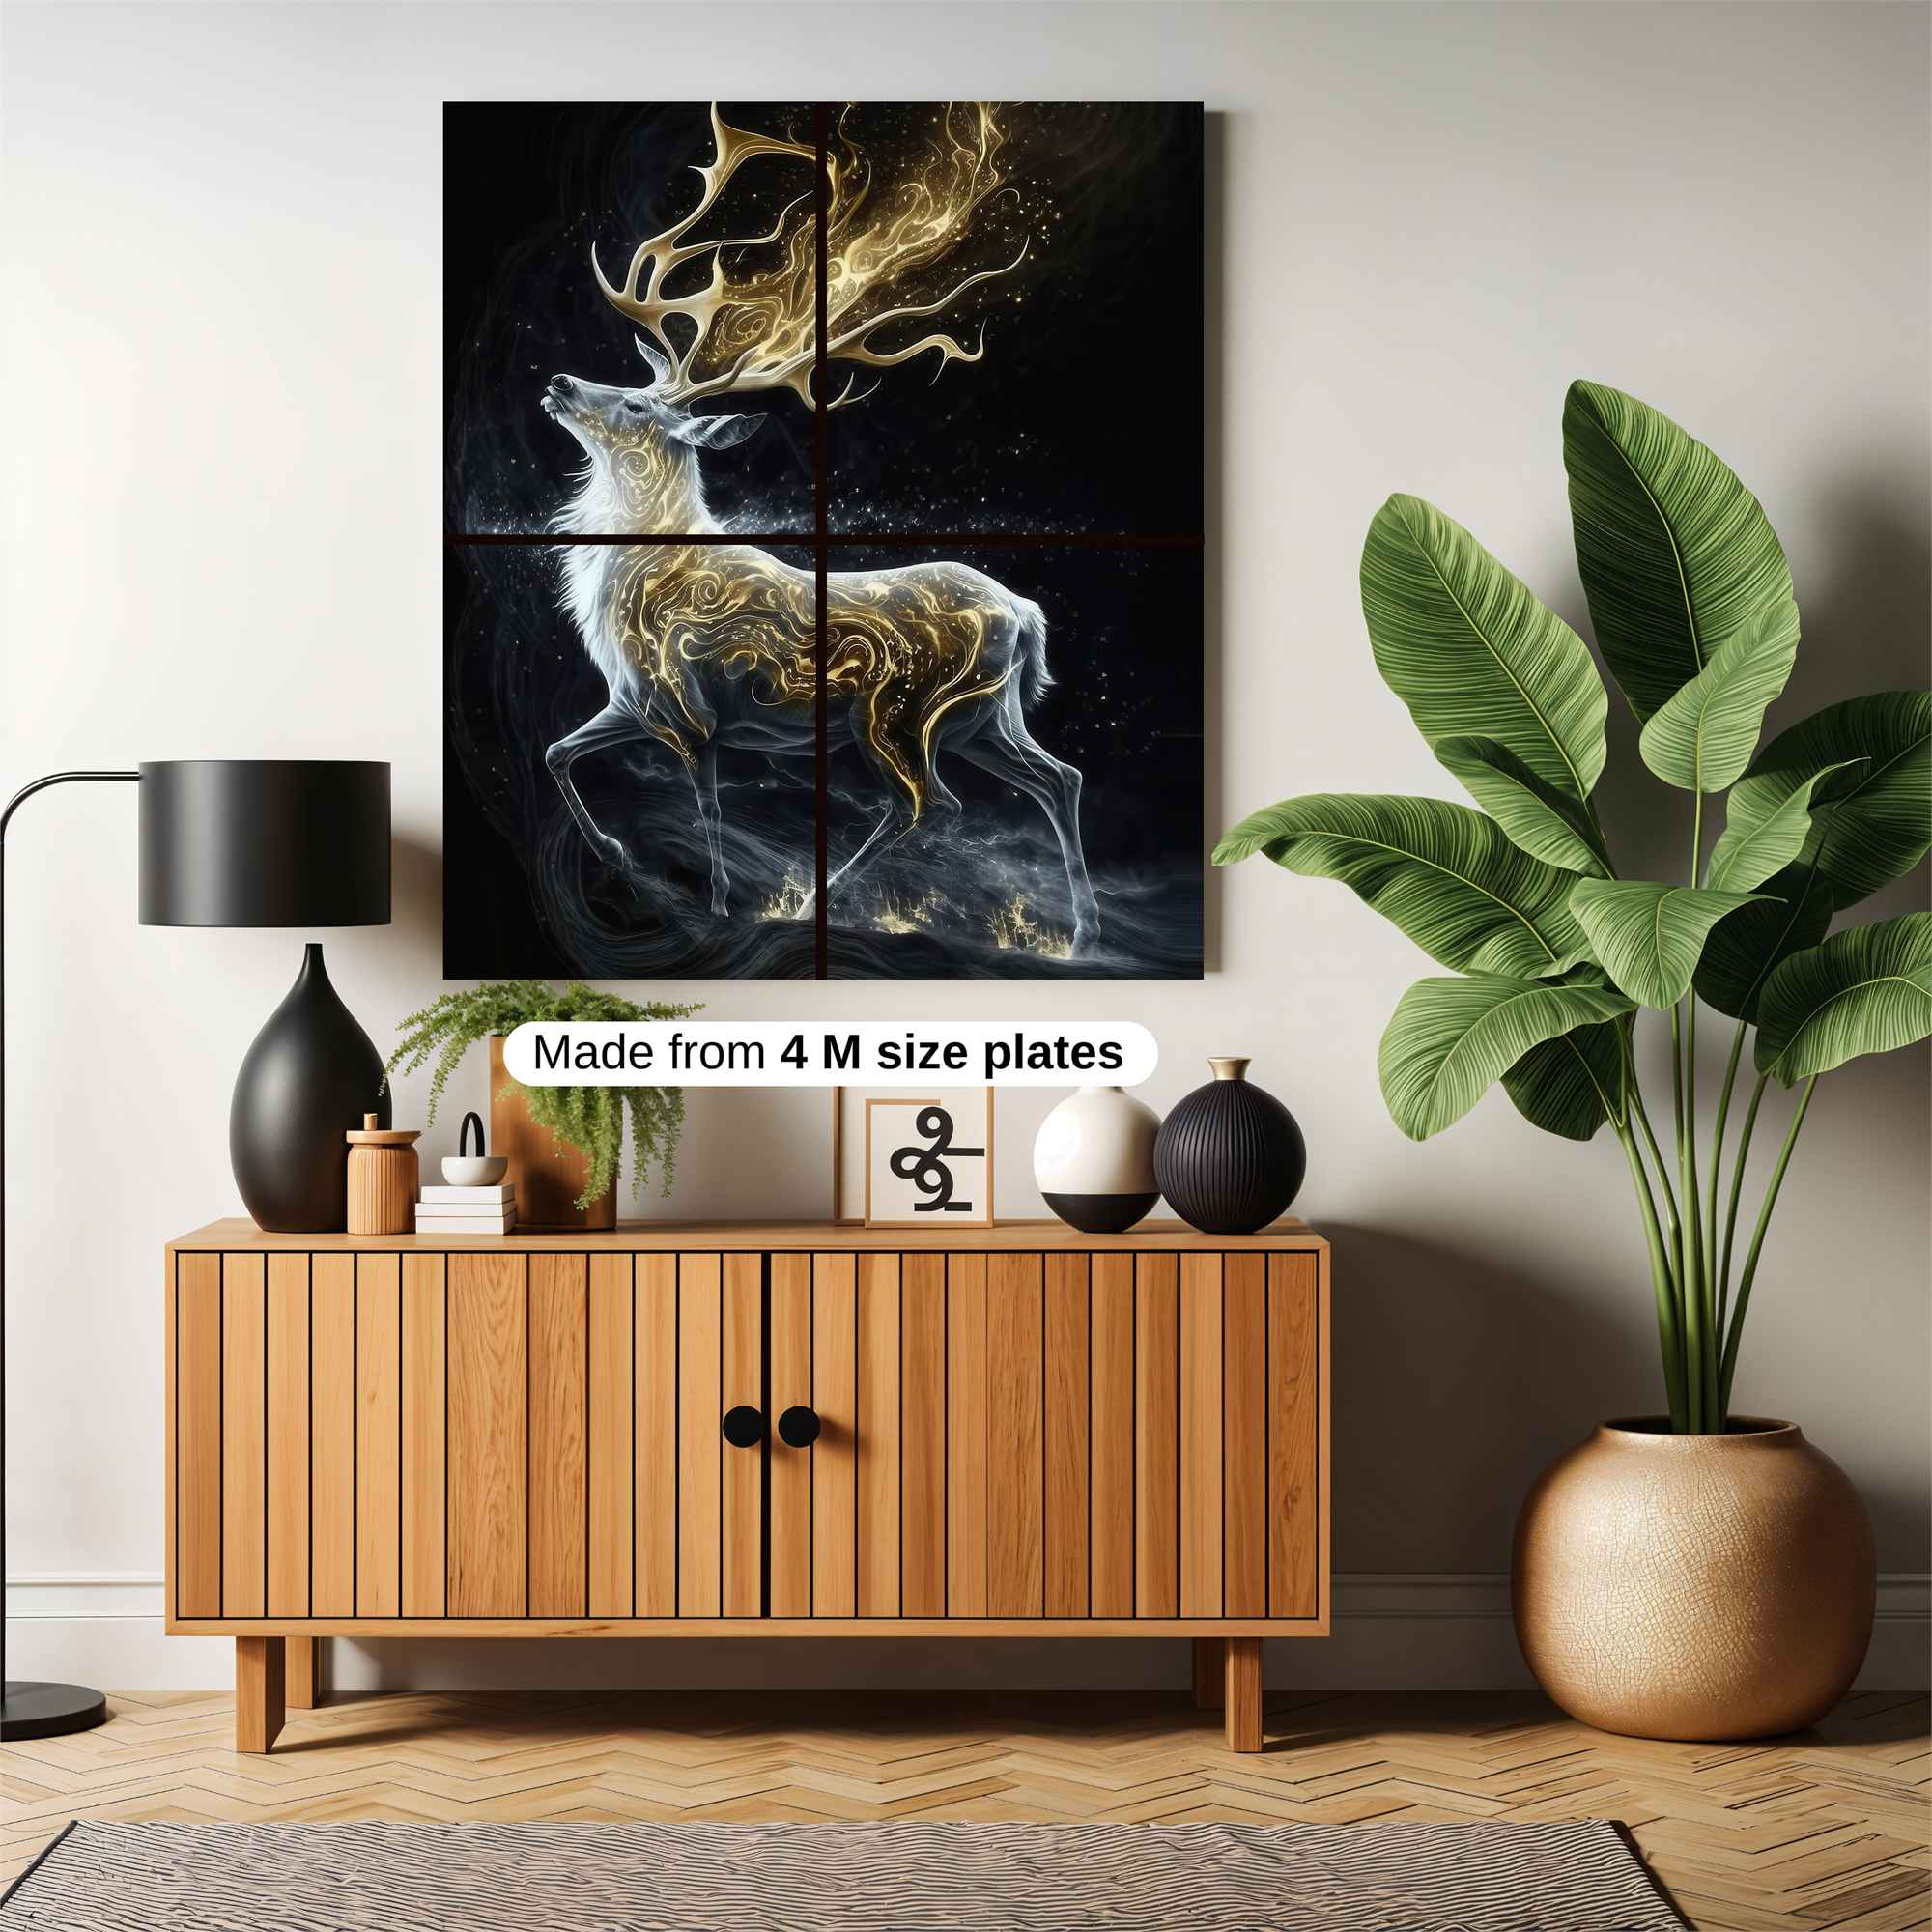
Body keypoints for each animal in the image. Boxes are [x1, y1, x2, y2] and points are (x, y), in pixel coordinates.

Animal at [538, 104, 1101, 952]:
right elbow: (554, 752)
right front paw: (615, 852)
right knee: (1059, 777)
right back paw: (1082, 932)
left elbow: (707, 807)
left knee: (931, 802)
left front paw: (716, 906)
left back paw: (818, 898)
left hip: (898, 712)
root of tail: (1025, 615)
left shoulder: (685, 706)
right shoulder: (631, 700)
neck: (630, 567)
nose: (561, 379)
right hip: (983, 719)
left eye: (636, 403)